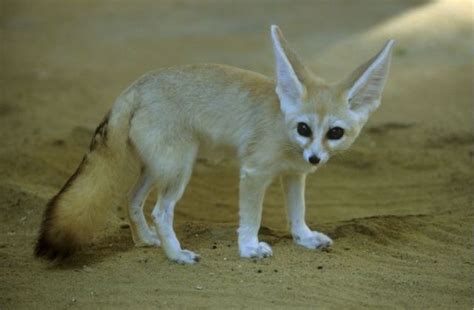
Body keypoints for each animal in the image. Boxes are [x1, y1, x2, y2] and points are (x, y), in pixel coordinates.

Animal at [35, 24, 394, 264]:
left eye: (335, 133)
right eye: (304, 128)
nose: (316, 159)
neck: (283, 122)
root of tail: (137, 85)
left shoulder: (294, 175)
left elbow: (297, 212)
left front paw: (303, 238)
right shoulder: (254, 173)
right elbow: (251, 216)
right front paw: (249, 247)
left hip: (159, 168)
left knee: (133, 199)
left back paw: (146, 240)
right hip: (179, 169)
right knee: (160, 211)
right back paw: (176, 255)